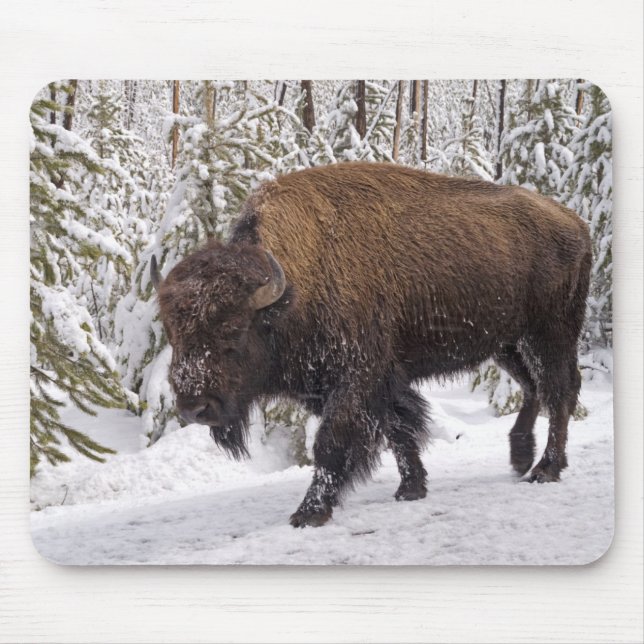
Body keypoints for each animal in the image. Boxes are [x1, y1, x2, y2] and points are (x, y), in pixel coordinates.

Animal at [152, 162, 592, 527]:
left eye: (234, 331)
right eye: (172, 332)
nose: (194, 408)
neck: (295, 287)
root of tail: (575, 222)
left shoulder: (356, 379)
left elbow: (332, 443)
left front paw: (309, 513)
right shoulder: (363, 384)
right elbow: (398, 430)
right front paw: (411, 489)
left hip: (549, 334)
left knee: (559, 391)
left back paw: (545, 469)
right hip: (507, 344)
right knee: (534, 388)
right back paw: (521, 458)